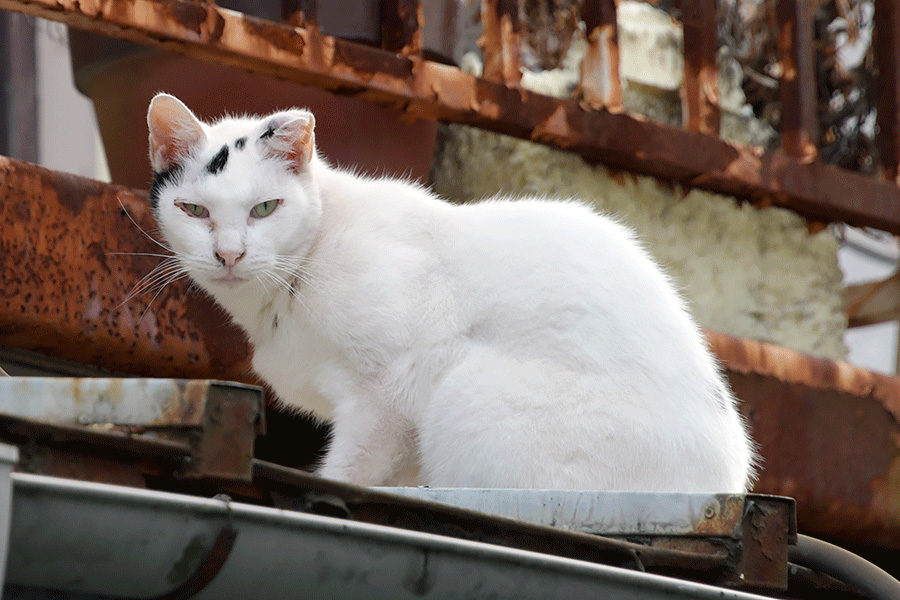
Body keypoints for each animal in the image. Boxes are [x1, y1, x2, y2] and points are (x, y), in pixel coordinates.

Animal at [149, 92, 760, 492]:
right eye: (194, 210)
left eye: (265, 209)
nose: (229, 254)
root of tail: (728, 481)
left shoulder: (387, 393)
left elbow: (352, 472)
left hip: (466, 392)